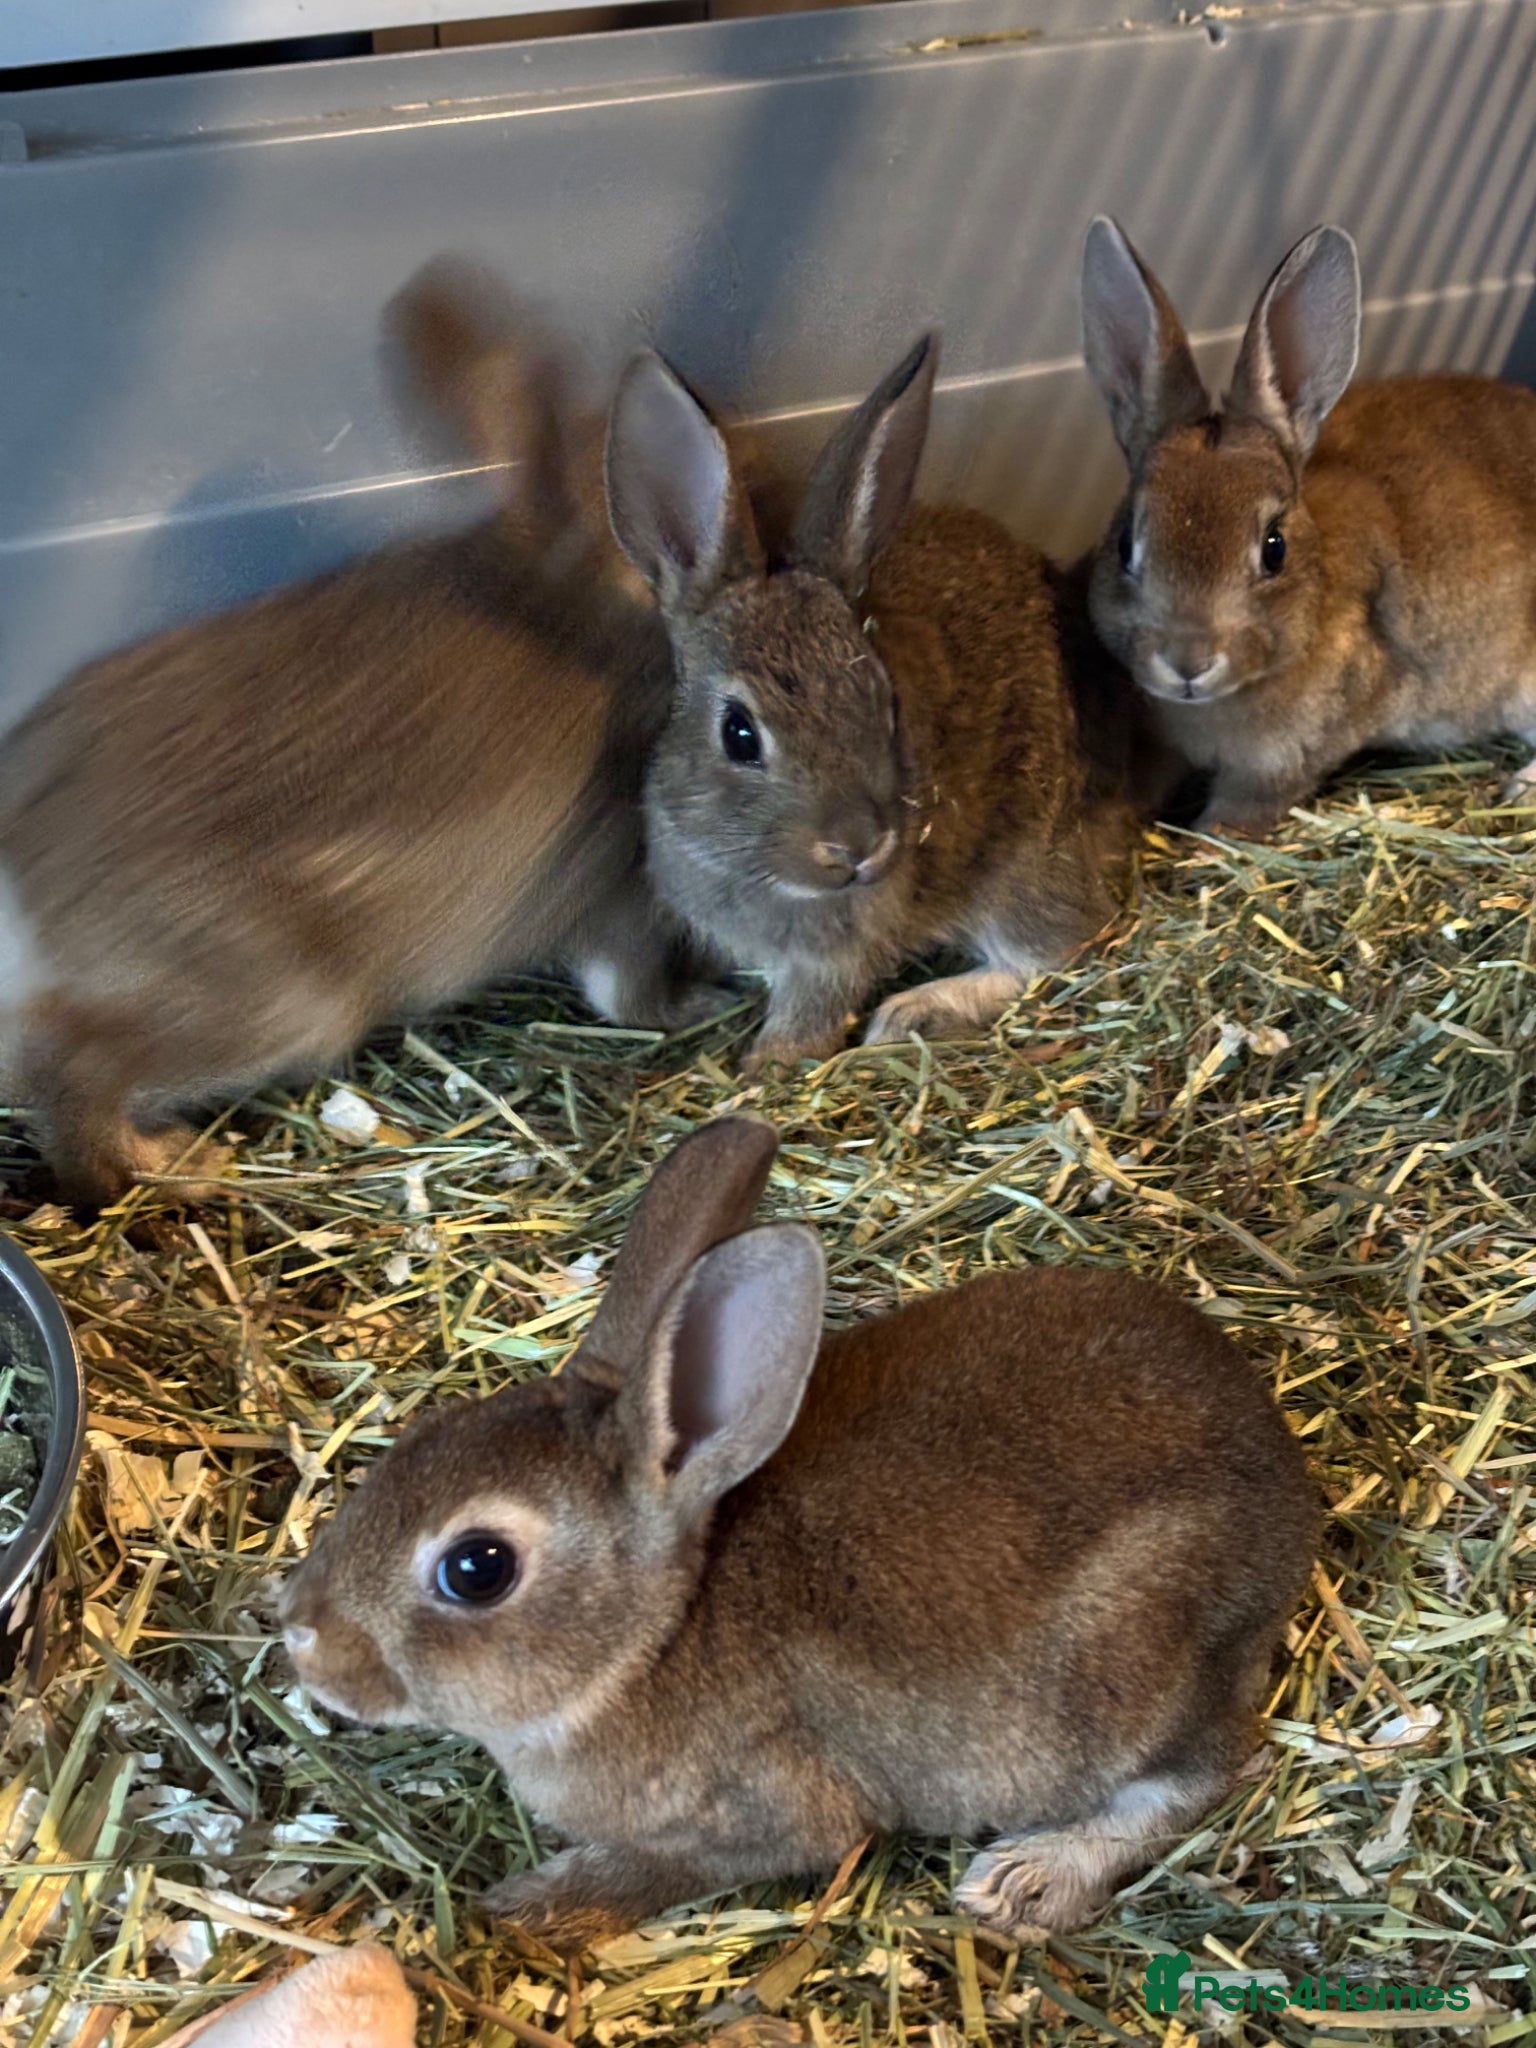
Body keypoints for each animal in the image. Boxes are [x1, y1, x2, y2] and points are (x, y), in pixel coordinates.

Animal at [0, 261, 703, 1211]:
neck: (571, 583)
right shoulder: (618, 898)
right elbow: (630, 996)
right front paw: (700, 1003)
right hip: (269, 1003)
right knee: (68, 1069)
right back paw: (180, 1166)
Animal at [280, 1114, 1319, 1954]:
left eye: (477, 1567)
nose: (301, 1637)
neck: (652, 1638)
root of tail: (1288, 1486)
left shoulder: (764, 1818)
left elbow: (674, 1867)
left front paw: (528, 1909)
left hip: (1132, 1661)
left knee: (1209, 1771)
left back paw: (1027, 1880)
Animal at [603, 336, 1143, 1071]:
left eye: (886, 704)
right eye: (739, 734)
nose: (858, 848)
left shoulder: (836, 956)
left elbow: (814, 1009)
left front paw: (766, 1065)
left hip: (1024, 860)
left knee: (1067, 942)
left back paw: (914, 1012)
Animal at [1080, 217, 1536, 834]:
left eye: (1274, 548)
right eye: (1126, 544)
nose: (1187, 664)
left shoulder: (1279, 765)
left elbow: (1234, 818)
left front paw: (1200, 844)